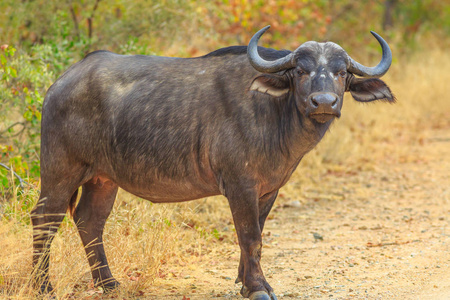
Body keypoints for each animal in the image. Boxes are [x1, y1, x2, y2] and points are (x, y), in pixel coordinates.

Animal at [32, 26, 394, 300]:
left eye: (341, 73)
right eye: (301, 71)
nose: (324, 102)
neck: (274, 112)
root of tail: (60, 83)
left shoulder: (269, 190)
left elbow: (257, 233)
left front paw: (245, 282)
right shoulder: (240, 185)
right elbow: (250, 236)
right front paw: (258, 288)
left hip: (103, 179)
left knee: (90, 220)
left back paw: (109, 284)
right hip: (60, 170)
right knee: (45, 219)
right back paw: (42, 286)